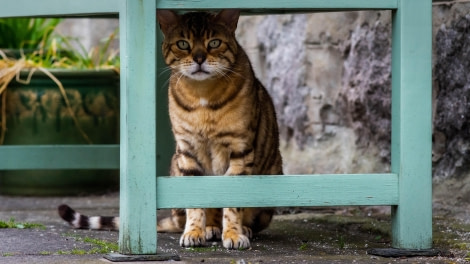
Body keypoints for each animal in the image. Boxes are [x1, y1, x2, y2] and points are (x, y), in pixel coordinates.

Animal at [56, 9, 280, 250]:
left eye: (214, 42)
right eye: (183, 44)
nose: (199, 58)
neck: (203, 94)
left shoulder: (240, 148)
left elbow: (234, 200)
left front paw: (234, 234)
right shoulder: (188, 150)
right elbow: (195, 200)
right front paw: (194, 232)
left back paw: (242, 228)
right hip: (176, 165)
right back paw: (210, 228)